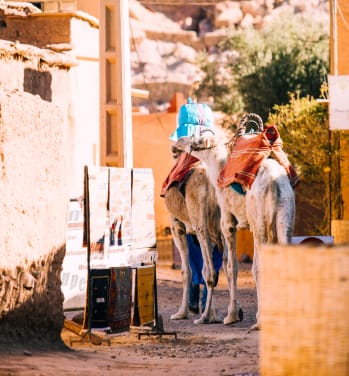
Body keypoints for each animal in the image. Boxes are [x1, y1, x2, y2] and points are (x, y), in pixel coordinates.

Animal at [161, 145, 241, 324]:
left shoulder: (177, 226)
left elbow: (186, 271)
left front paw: (181, 313)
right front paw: (215, 313)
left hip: (200, 224)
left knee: (210, 272)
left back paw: (203, 317)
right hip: (223, 222)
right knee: (229, 266)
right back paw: (232, 314)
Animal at [174, 113, 296, 330]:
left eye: (196, 140)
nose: (178, 143)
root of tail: (274, 183)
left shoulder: (227, 223)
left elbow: (231, 267)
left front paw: (230, 316)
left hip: (260, 221)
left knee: (260, 265)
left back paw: (259, 322)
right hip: (286, 215)